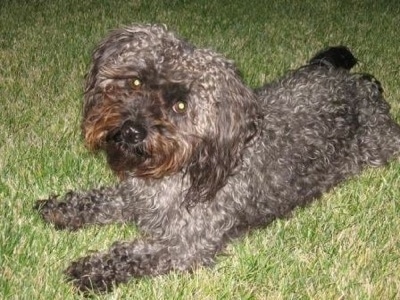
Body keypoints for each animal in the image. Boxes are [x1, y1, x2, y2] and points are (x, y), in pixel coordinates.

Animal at [35, 24, 400, 292]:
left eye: (181, 106)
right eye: (136, 81)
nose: (132, 130)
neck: (184, 169)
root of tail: (360, 85)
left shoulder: (187, 245)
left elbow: (136, 253)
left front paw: (93, 268)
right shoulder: (135, 195)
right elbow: (102, 200)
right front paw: (65, 208)